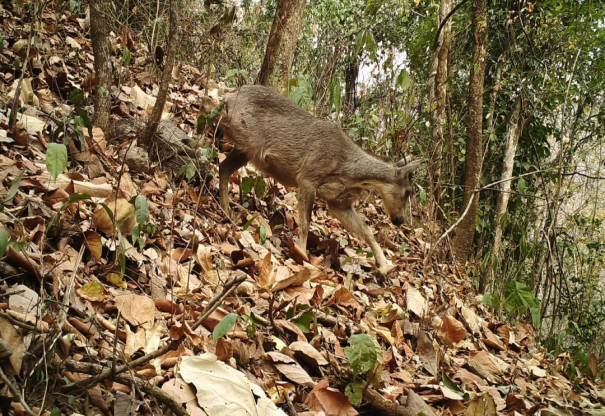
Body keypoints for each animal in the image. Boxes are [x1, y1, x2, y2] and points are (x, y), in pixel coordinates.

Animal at [213, 85, 421, 275]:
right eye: (408, 191)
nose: (399, 220)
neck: (348, 170)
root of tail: (232, 93)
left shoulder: (338, 203)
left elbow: (366, 230)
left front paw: (383, 265)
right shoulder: (308, 177)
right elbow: (305, 223)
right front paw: (302, 255)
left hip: (247, 150)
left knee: (224, 167)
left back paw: (226, 210)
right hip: (241, 130)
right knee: (211, 108)